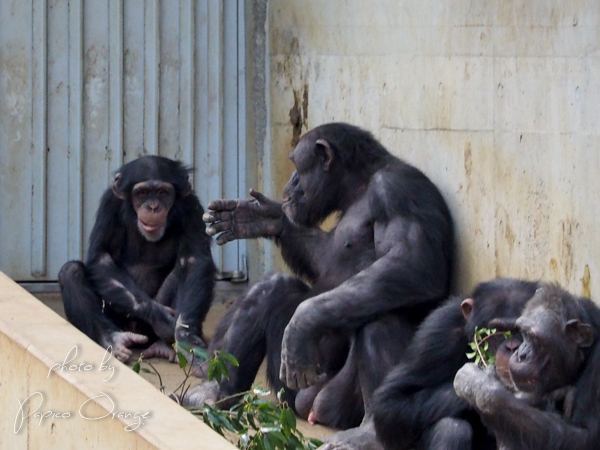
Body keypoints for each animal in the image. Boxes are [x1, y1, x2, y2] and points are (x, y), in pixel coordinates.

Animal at [58, 155, 217, 362]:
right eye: (142, 193)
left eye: (162, 192)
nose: (153, 206)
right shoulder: (110, 203)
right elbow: (101, 258)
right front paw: (160, 317)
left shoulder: (191, 205)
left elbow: (193, 260)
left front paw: (185, 336)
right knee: (71, 272)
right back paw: (114, 339)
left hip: (147, 331)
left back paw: (163, 347)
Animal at [180, 122, 452, 428]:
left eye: (297, 165)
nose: (290, 184)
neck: (360, 187)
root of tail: (306, 408)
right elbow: (322, 256)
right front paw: (261, 217)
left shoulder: (397, 191)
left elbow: (413, 262)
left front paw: (303, 322)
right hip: (289, 388)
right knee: (272, 287)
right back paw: (217, 394)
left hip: (329, 399)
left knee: (383, 316)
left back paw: (369, 430)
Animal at [322, 278, 540, 450]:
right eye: (497, 331)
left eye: (521, 332)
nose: (512, 347)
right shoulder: (437, 334)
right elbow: (390, 402)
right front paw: (477, 384)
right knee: (451, 429)